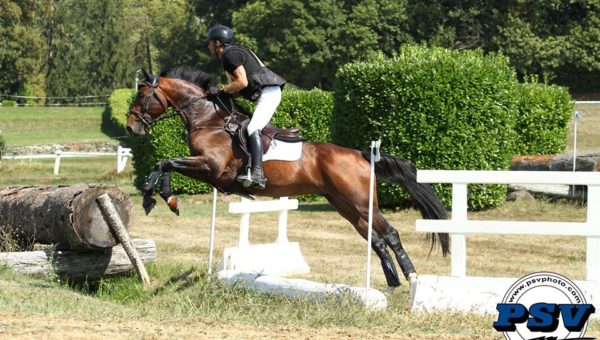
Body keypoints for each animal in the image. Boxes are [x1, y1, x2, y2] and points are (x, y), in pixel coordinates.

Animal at [126, 67, 448, 292]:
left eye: (141, 96)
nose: (131, 128)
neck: (210, 120)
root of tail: (361, 154)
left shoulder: (211, 168)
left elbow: (165, 162)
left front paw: (158, 198)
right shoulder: (208, 170)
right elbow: (164, 163)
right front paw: (161, 198)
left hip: (359, 202)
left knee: (390, 234)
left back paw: (412, 278)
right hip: (345, 206)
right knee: (376, 239)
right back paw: (391, 284)